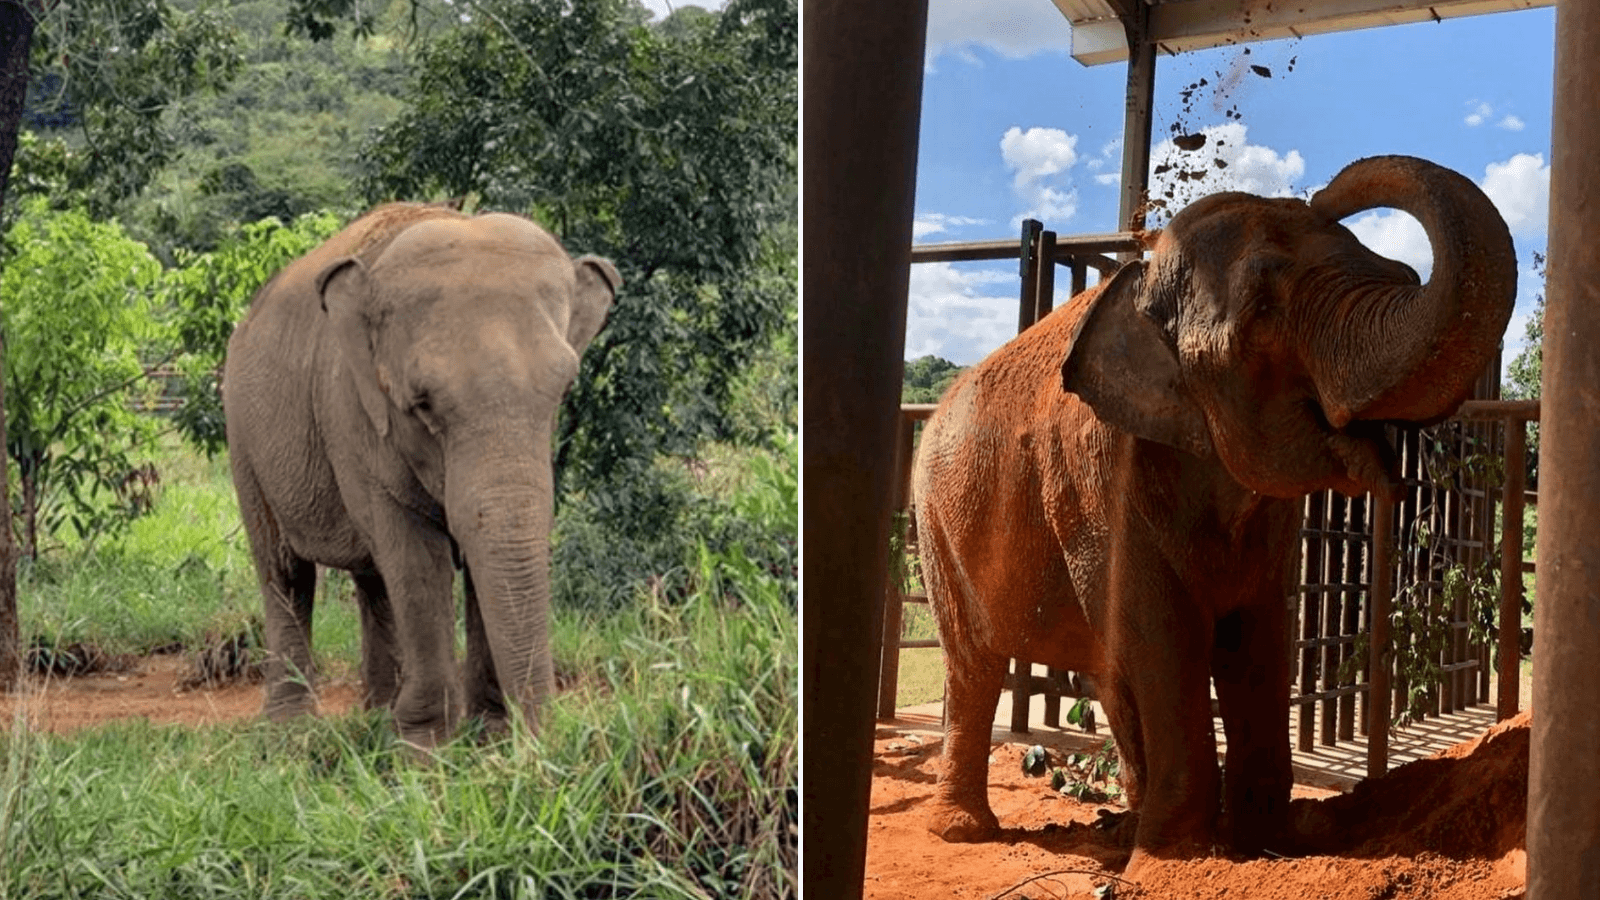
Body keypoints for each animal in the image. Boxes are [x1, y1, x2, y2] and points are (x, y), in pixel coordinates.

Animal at [224, 201, 617, 743]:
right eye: (422, 403)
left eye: (564, 390)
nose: (538, 744)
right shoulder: (353, 410)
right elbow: (416, 560)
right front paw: (426, 748)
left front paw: (488, 738)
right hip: (242, 431)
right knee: (285, 571)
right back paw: (292, 731)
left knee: (372, 577)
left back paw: (376, 713)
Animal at [915, 153, 1510, 871]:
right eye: (1261, 315)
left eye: (1398, 272)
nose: (1325, 190)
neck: (1141, 286)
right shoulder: (1099, 476)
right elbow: (1166, 635)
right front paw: (1181, 861)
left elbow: (1256, 638)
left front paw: (1266, 847)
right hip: (934, 526)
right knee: (976, 665)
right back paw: (965, 832)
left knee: (1104, 672)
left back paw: (1123, 827)